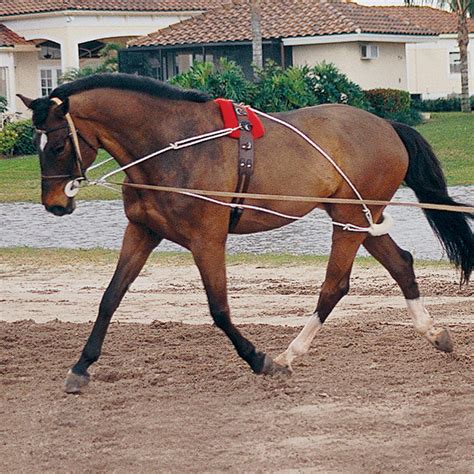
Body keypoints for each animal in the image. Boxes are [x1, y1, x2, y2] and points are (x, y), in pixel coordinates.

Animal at [16, 73, 472, 392]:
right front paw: (80, 367)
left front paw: (259, 360)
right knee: (401, 265)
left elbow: (219, 310)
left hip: (348, 220)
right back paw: (435, 334)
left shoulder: (207, 241)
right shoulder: (141, 231)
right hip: (359, 218)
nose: (54, 203)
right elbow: (110, 298)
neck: (173, 146)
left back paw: (290, 355)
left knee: (335, 285)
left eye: (57, 145)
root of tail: (387, 125)